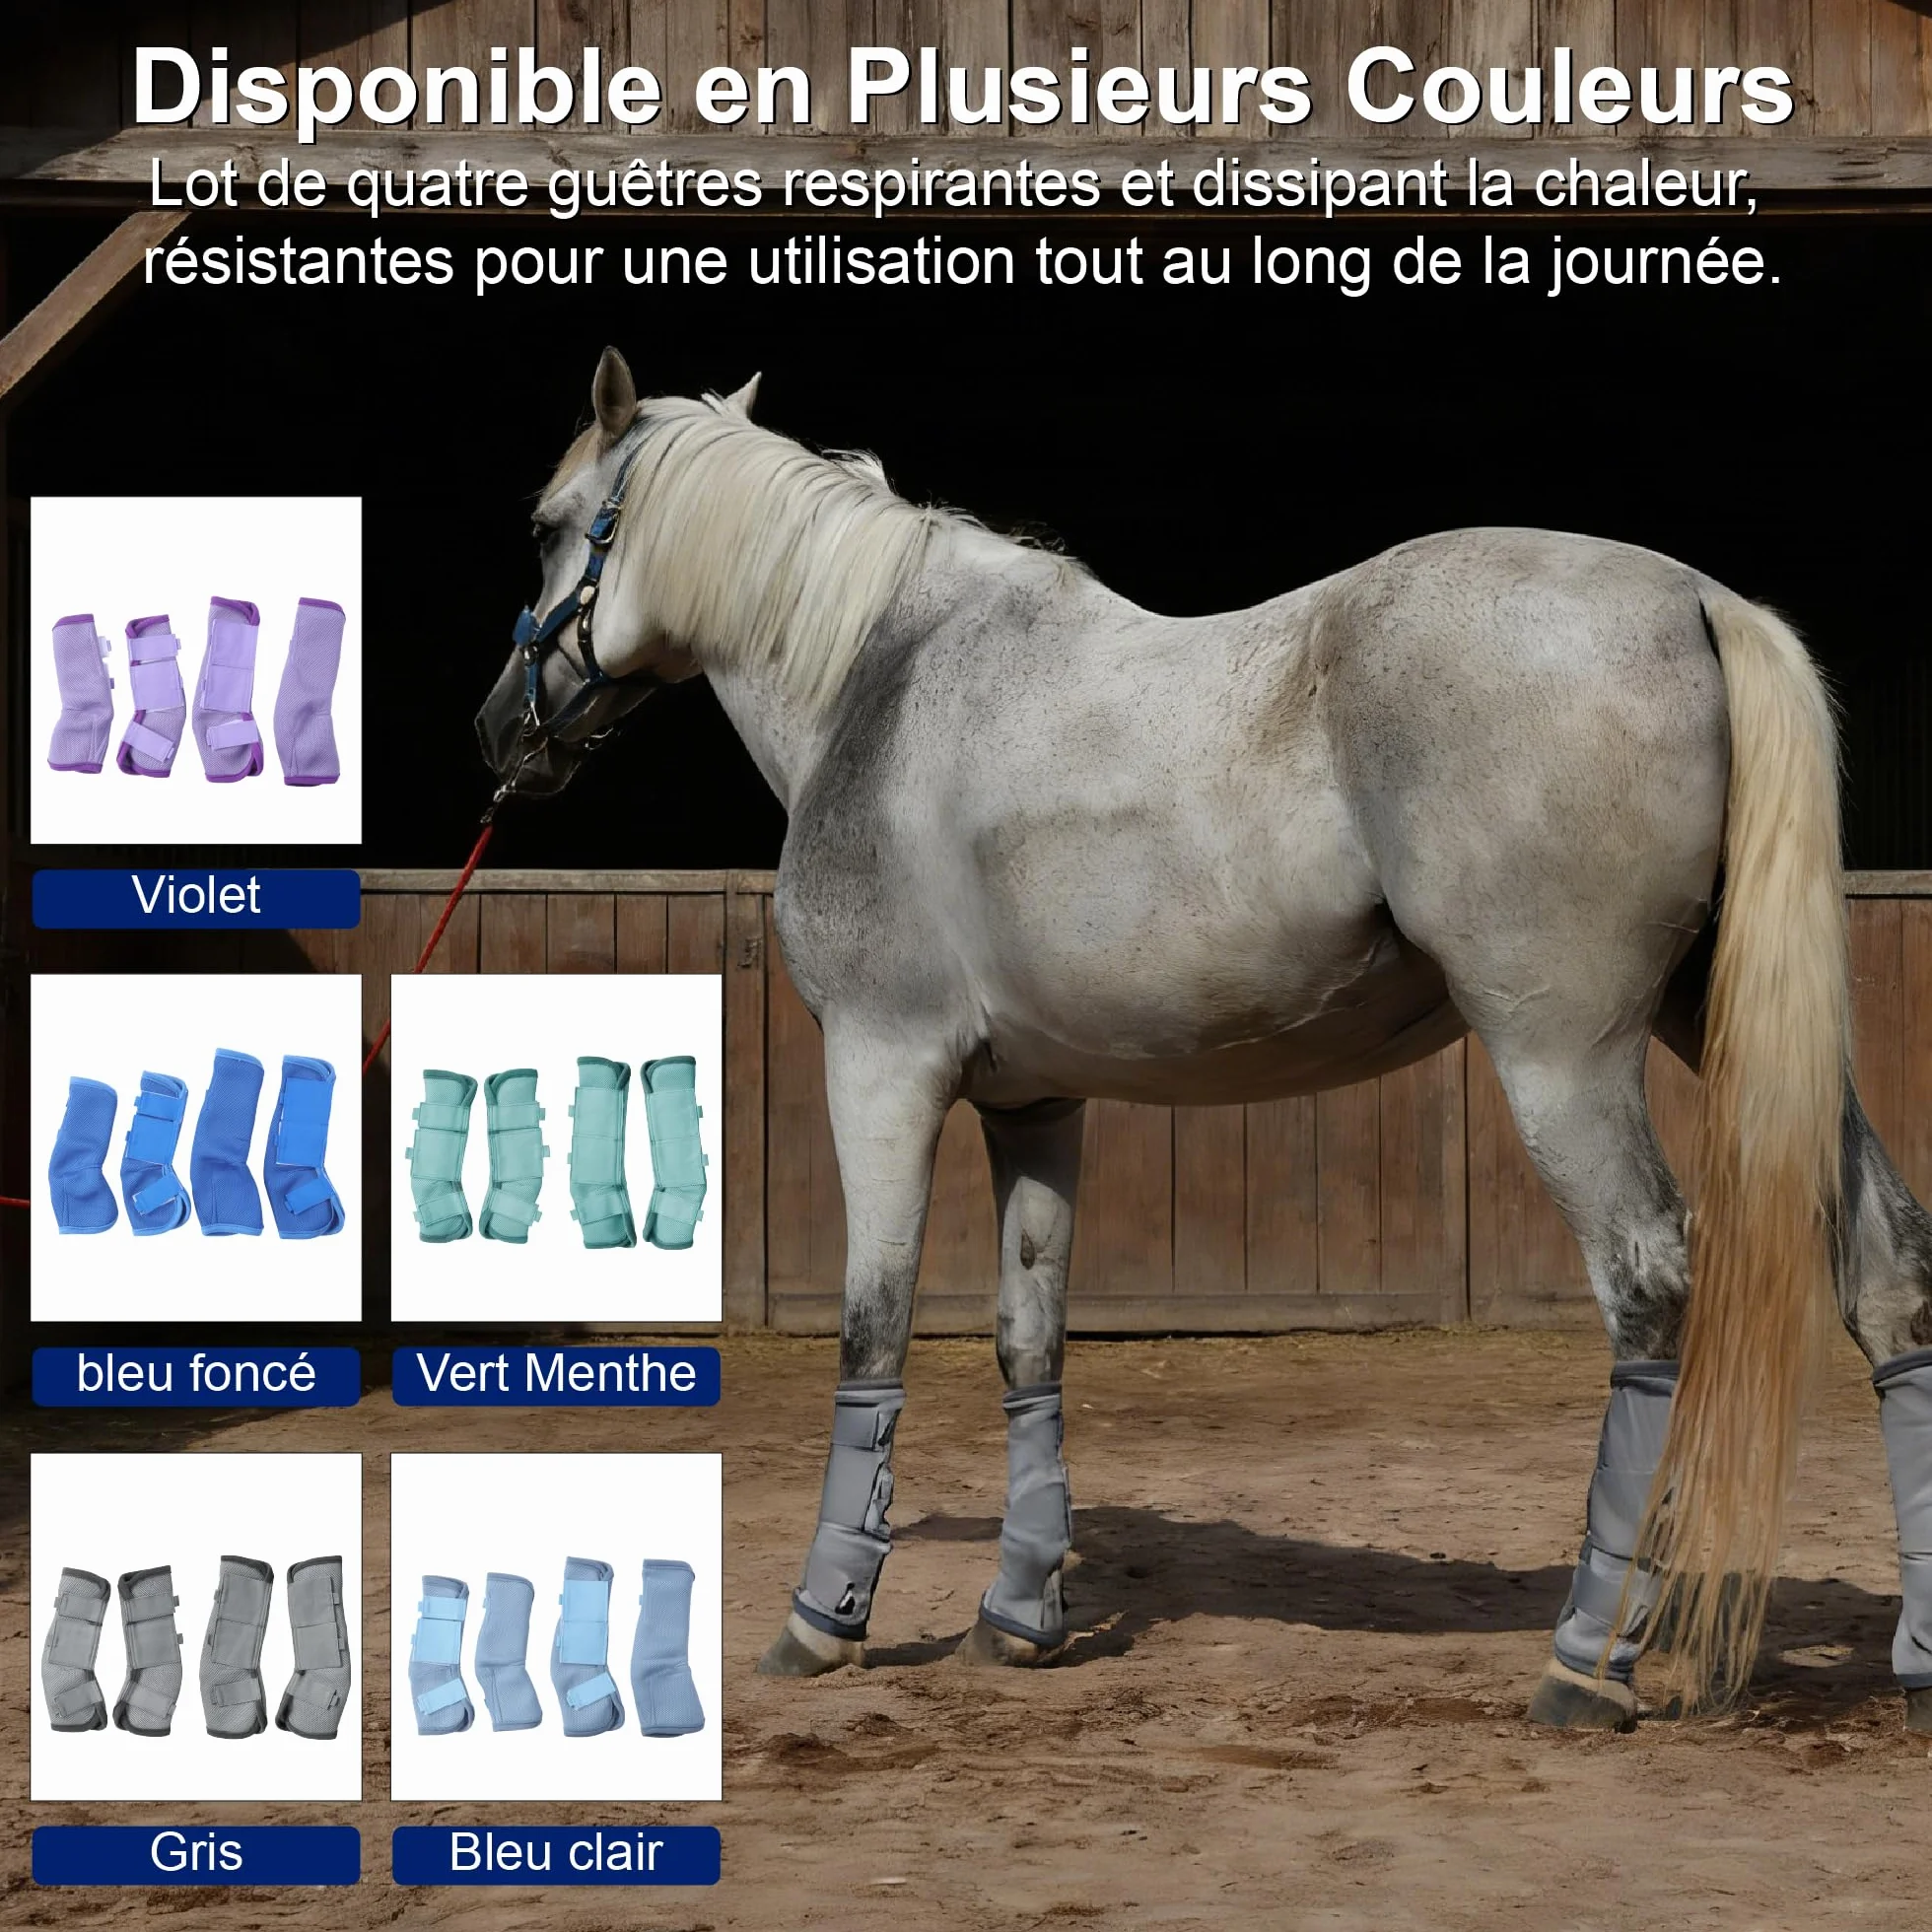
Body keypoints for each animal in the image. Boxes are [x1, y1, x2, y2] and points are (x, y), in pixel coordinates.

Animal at [476, 346, 1932, 1731]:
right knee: (1885, 1267)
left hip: (1565, 1058)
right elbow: (1026, 1338)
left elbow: (870, 1335)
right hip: (1735, 1034)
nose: (501, 731)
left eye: (548, 527)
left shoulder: (879, 1071)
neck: (878, 686)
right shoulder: (1034, 1107)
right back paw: (1913, 1656)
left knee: (1648, 1285)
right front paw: (1018, 1617)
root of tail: (1695, 600)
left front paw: (820, 1622)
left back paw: (1584, 1662)